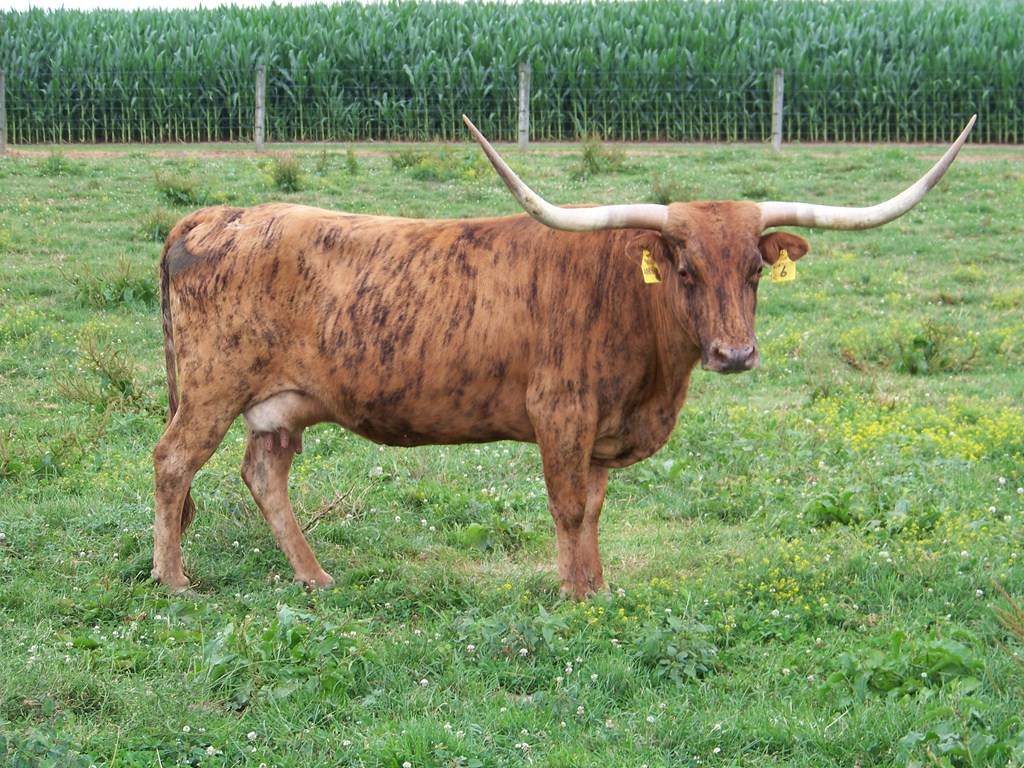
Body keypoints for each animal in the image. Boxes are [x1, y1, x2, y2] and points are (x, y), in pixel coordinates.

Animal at [152, 114, 975, 599]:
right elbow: (569, 505)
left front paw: (598, 587)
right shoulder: (562, 415)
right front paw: (575, 597)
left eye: (753, 270)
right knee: (172, 463)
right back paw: (173, 582)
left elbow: (596, 510)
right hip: (210, 388)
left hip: (276, 407)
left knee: (264, 474)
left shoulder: (604, 433)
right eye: (685, 270)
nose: (735, 353)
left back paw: (315, 576)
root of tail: (218, 213)